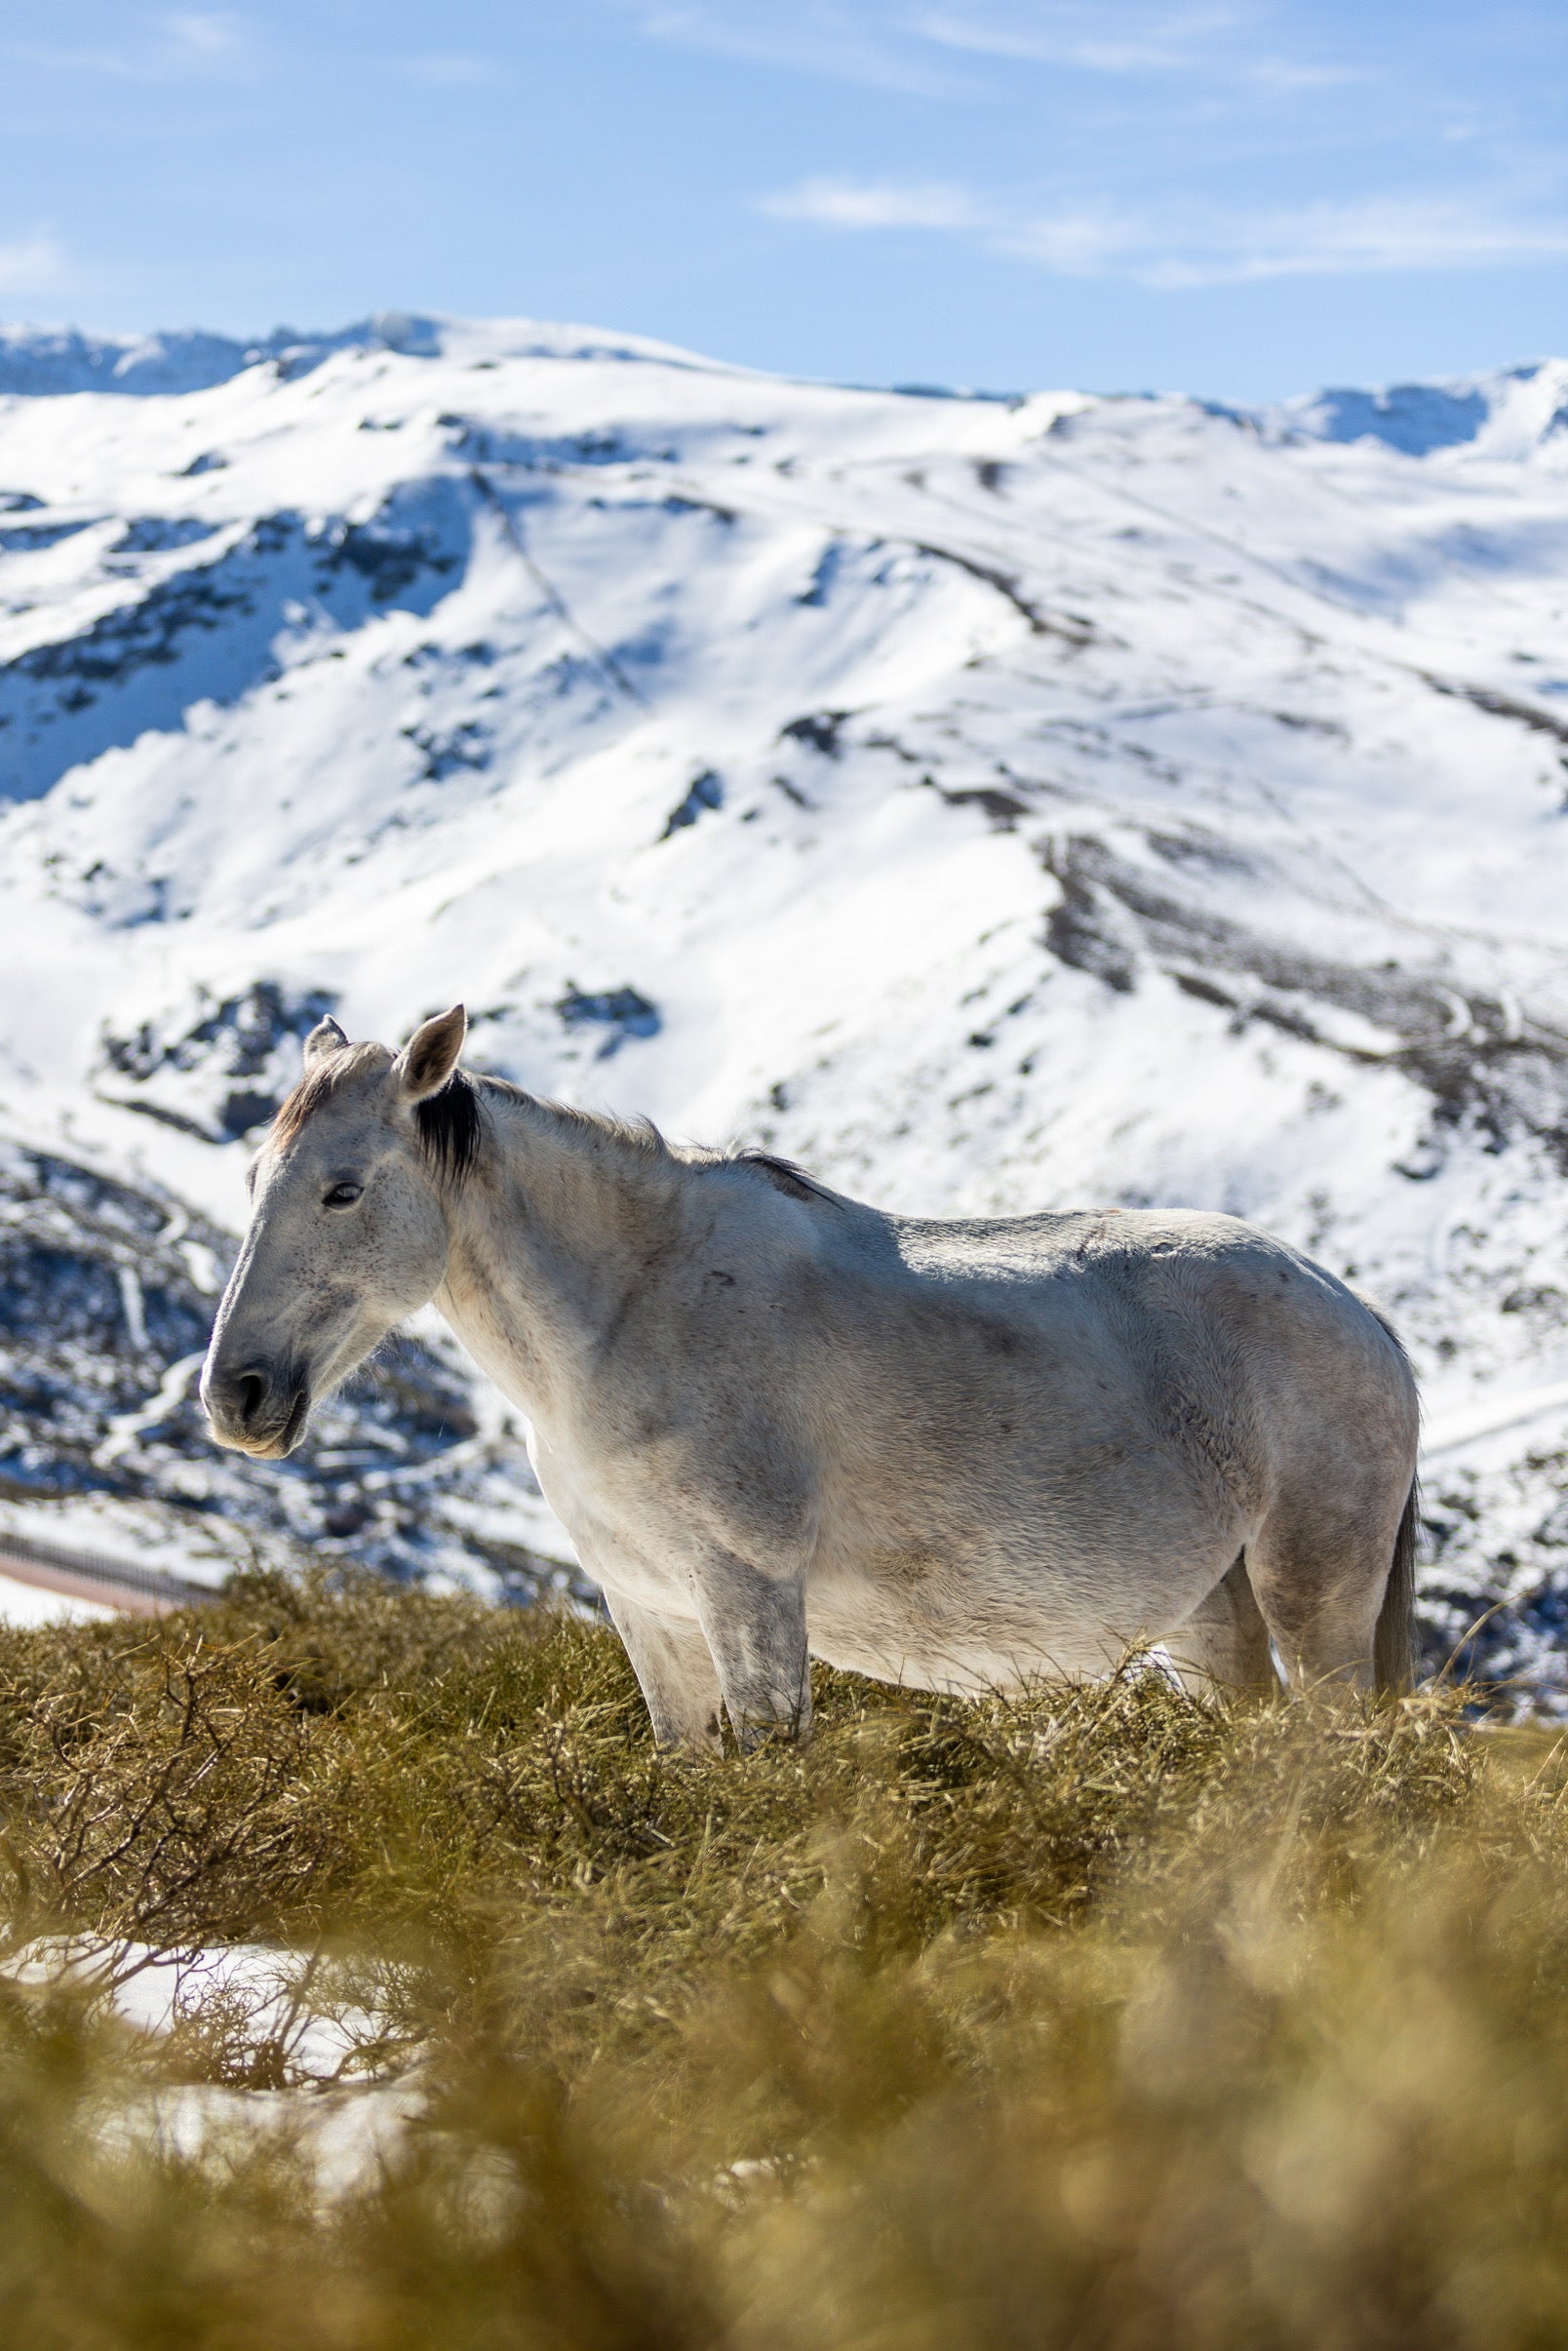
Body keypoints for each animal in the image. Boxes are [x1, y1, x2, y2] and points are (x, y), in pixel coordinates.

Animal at [199, 1010, 1420, 1748]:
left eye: (343, 1189)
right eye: (255, 1176)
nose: (235, 1396)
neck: (630, 1310)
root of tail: (1365, 1317)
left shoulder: (748, 1589)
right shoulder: (650, 1607)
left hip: (1314, 1600)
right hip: (1213, 1619)